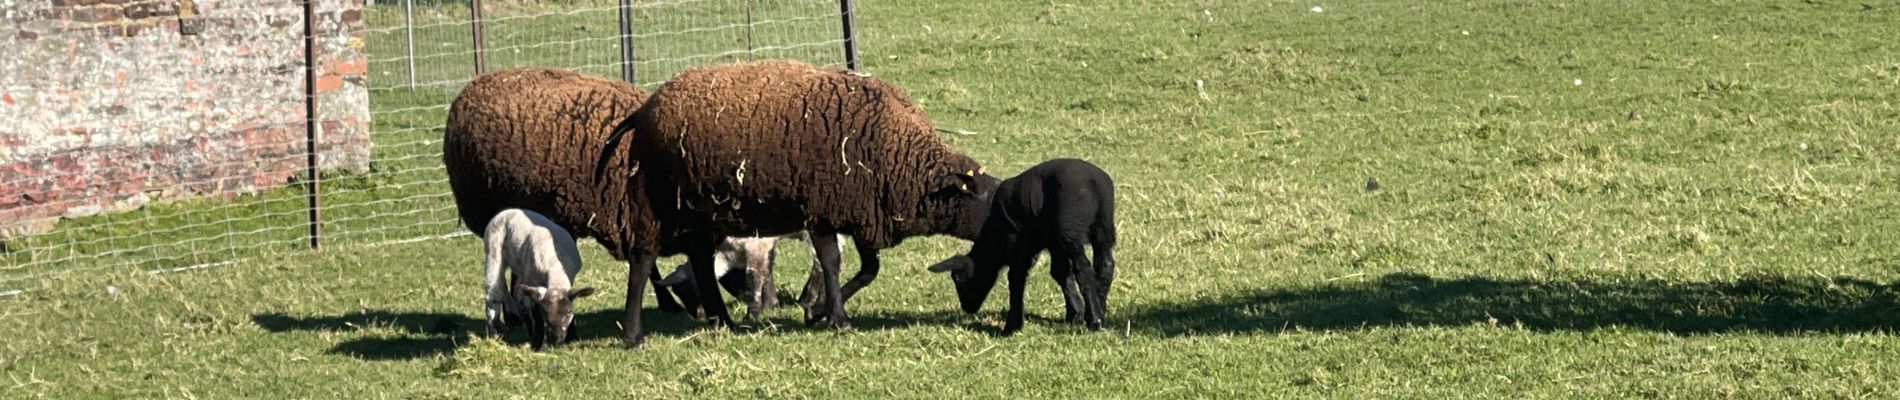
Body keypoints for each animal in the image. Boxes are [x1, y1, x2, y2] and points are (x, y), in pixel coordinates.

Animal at [482, 207, 592, 348]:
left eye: (569, 311)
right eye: (544, 312)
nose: (557, 338)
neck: (555, 266)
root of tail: (508, 210)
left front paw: (573, 338)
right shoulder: (533, 280)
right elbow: (536, 315)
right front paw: (541, 344)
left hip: (520, 267)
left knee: (518, 297)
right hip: (493, 248)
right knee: (493, 292)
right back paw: (493, 334)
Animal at [627, 58, 1010, 327]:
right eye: (989, 202)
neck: (904, 158)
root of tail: (651, 103)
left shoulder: (864, 213)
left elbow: (869, 270)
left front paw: (819, 309)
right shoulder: (823, 212)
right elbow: (832, 263)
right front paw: (835, 318)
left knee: (700, 259)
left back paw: (722, 317)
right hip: (682, 207)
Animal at [931, 157, 1117, 335]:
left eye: (957, 278)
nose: (967, 308)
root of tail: (1093, 181)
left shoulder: (1018, 244)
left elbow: (1016, 277)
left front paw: (1012, 326)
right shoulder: (1053, 242)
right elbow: (1061, 272)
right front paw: (1075, 313)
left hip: (1070, 229)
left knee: (1084, 269)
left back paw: (1094, 320)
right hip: (1103, 225)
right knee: (1105, 265)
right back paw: (1100, 310)